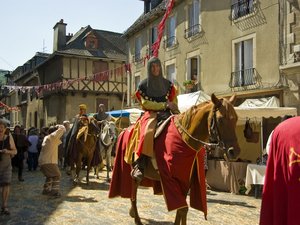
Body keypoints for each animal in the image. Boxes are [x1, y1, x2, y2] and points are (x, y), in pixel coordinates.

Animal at [109, 93, 240, 225]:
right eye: (220, 119)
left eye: (236, 119)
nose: (234, 152)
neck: (185, 139)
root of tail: (124, 130)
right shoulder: (171, 179)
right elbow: (182, 208)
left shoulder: (185, 181)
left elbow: (182, 210)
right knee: (134, 190)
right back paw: (137, 219)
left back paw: (132, 212)